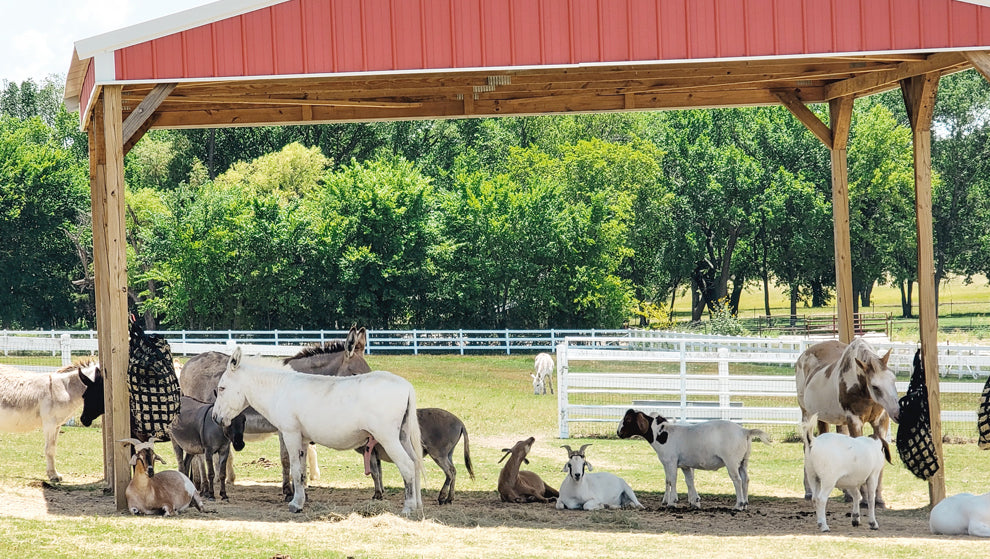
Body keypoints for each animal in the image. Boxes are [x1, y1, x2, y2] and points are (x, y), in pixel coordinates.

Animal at [213, 350, 422, 516]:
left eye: (222, 388)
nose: (215, 418)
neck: (280, 390)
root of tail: (406, 385)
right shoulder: (303, 440)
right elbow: (302, 472)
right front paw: (301, 500)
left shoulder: (290, 434)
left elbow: (295, 469)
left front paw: (295, 504)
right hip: (402, 438)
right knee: (416, 465)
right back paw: (418, 505)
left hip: (388, 439)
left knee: (407, 466)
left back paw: (408, 508)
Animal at [616, 406, 772, 512]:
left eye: (628, 419)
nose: (618, 433)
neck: (663, 434)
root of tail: (744, 431)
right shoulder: (685, 465)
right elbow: (689, 481)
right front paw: (694, 502)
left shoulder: (670, 461)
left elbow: (671, 481)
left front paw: (672, 502)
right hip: (743, 461)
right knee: (746, 479)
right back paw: (745, 505)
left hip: (731, 461)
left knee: (737, 480)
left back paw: (738, 505)